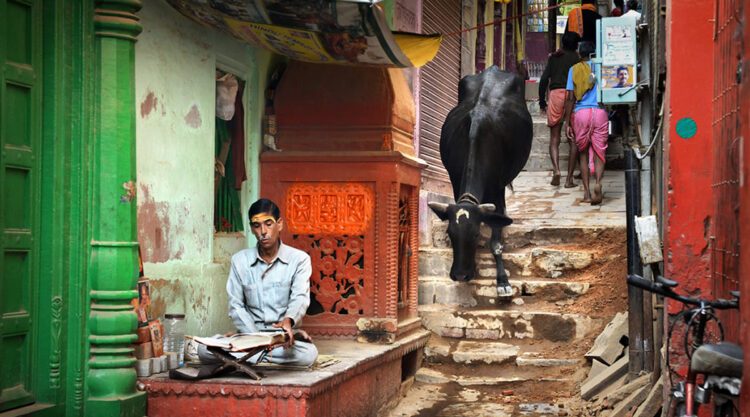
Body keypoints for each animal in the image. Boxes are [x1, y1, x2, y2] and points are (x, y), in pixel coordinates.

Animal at [428, 66, 536, 296]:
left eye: (476, 234)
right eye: (450, 234)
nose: (460, 275)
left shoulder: (498, 189)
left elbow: (496, 242)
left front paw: (503, 281)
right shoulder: (454, 180)